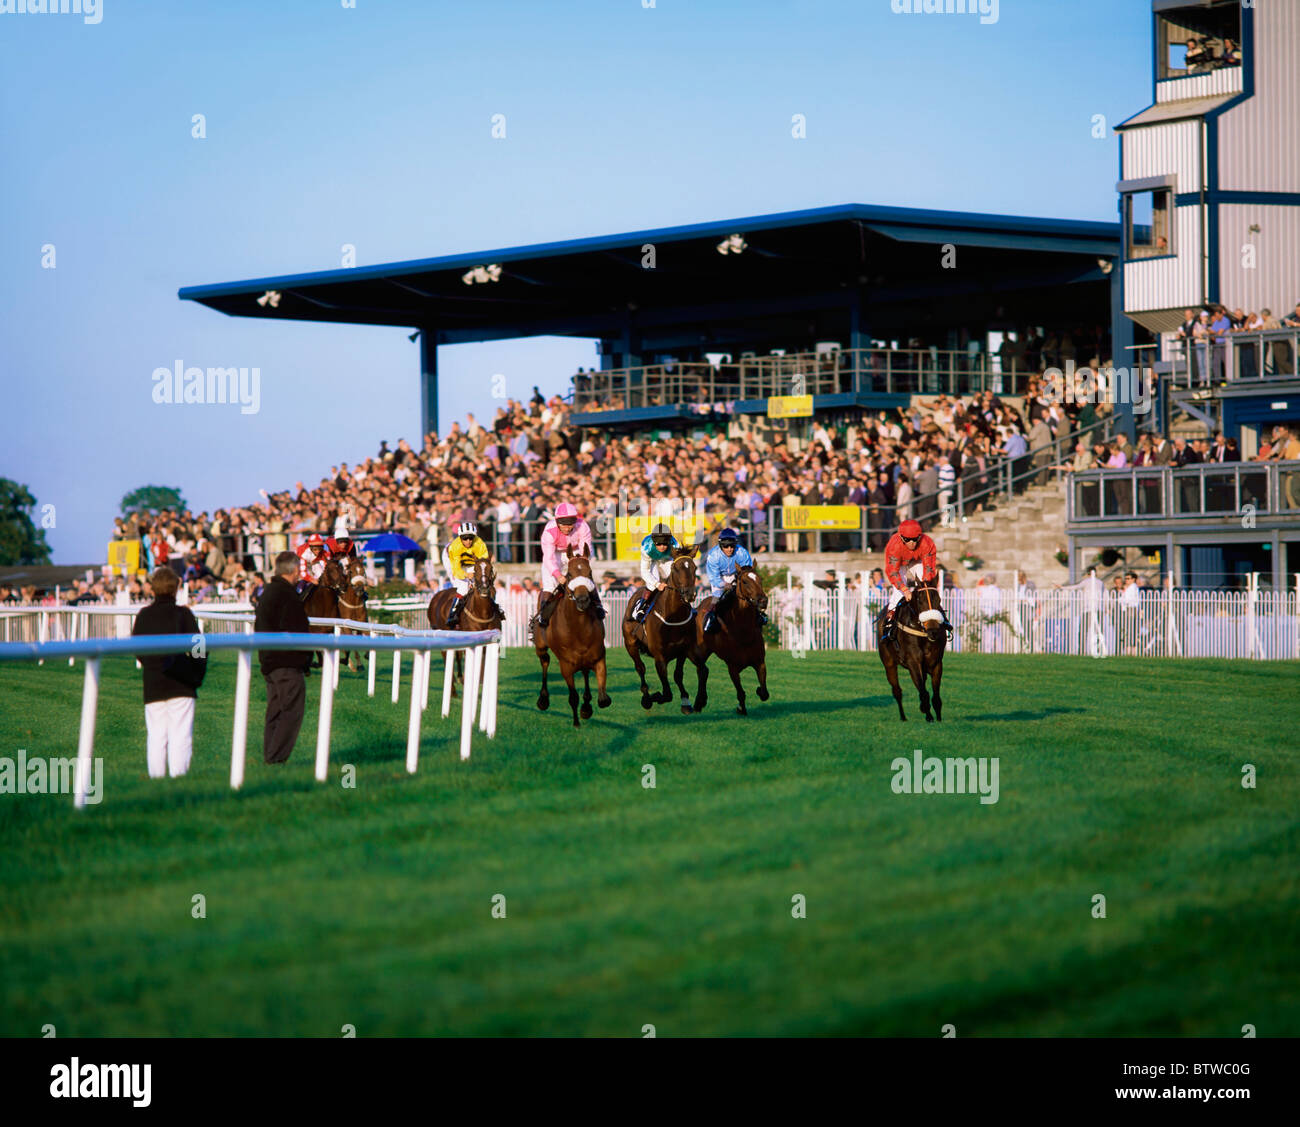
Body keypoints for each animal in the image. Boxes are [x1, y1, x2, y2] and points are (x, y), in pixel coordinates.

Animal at [538, 548, 618, 727]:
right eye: (569, 575)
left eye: (590, 573)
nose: (582, 600)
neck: (578, 629)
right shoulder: (566, 665)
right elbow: (573, 696)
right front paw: (576, 721)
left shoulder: (598, 658)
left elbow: (604, 700)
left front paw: (586, 709)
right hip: (541, 647)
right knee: (545, 662)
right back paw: (543, 699)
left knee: (585, 672)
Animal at [618, 545, 702, 712]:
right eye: (675, 568)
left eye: (695, 568)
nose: (690, 594)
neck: (674, 616)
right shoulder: (659, 656)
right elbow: (667, 693)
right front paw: (653, 697)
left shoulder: (683, 650)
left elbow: (678, 675)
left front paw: (685, 701)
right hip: (630, 644)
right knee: (640, 668)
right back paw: (646, 697)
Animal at [691, 569, 769, 717]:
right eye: (744, 581)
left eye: (760, 579)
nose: (763, 601)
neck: (743, 632)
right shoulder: (732, 666)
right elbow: (741, 693)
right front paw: (741, 709)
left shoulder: (760, 662)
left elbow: (764, 693)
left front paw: (757, 691)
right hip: (700, 651)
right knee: (701, 670)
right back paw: (698, 702)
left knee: (703, 671)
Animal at [878, 582, 951, 722]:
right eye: (920, 601)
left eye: (938, 600)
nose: (933, 632)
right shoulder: (913, 662)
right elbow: (923, 692)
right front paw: (928, 715)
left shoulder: (936, 663)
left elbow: (936, 697)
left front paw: (938, 719)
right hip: (889, 664)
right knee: (897, 691)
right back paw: (903, 717)